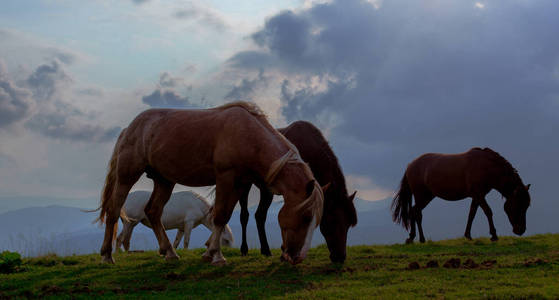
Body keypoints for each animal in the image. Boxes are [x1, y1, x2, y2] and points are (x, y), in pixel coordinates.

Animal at [95, 102, 324, 264]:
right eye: (306, 217)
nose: (297, 257)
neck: (247, 134)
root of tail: (129, 128)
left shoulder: (240, 184)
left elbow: (224, 216)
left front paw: (209, 253)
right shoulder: (225, 178)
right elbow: (220, 215)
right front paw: (216, 255)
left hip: (164, 181)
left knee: (153, 211)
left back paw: (169, 252)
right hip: (127, 175)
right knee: (114, 210)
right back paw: (107, 255)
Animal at [238, 120, 356, 264]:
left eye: (349, 224)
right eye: (332, 220)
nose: (340, 257)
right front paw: (284, 253)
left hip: (266, 189)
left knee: (260, 215)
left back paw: (265, 250)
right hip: (245, 183)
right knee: (244, 215)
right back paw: (244, 249)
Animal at [392, 148, 532, 244]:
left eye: (527, 206)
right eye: (518, 205)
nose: (521, 230)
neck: (485, 166)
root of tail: (410, 165)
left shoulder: (477, 196)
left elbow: (472, 214)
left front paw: (468, 235)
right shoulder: (479, 195)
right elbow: (488, 211)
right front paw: (494, 235)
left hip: (427, 196)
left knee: (414, 212)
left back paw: (415, 238)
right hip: (422, 195)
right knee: (416, 212)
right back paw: (418, 238)